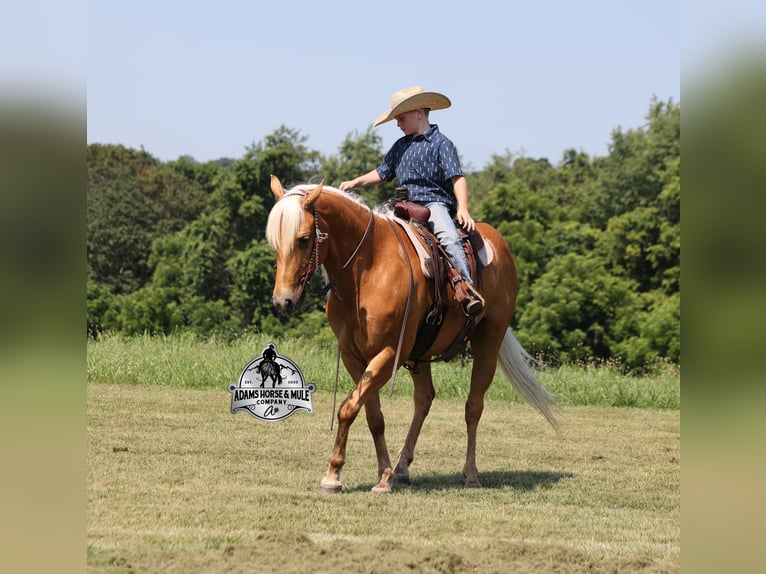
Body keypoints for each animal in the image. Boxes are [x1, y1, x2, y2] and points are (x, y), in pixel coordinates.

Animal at [265, 175, 558, 494]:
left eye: (304, 239)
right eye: (274, 242)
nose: (283, 302)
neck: (367, 270)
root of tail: (496, 241)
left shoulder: (390, 352)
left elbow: (348, 408)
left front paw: (335, 475)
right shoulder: (354, 356)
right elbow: (372, 415)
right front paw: (381, 474)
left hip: (488, 343)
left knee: (473, 407)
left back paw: (470, 474)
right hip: (422, 353)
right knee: (424, 399)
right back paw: (403, 467)